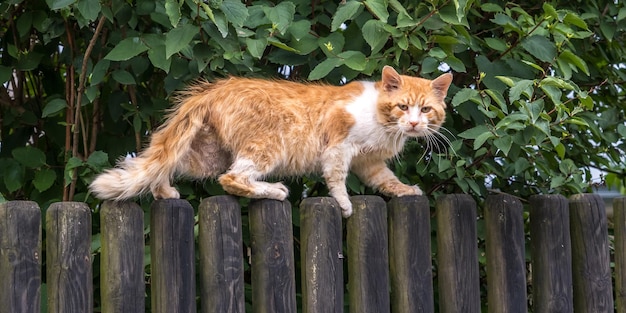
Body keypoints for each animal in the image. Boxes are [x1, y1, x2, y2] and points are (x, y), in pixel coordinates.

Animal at [89, 66, 448, 217]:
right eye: (403, 106)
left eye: (426, 109)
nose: (414, 123)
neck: (383, 124)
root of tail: (214, 89)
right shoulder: (338, 146)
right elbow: (336, 179)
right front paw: (344, 204)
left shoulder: (369, 162)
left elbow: (387, 180)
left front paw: (406, 190)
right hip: (267, 148)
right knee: (233, 179)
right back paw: (274, 191)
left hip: (206, 157)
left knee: (163, 164)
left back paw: (165, 192)